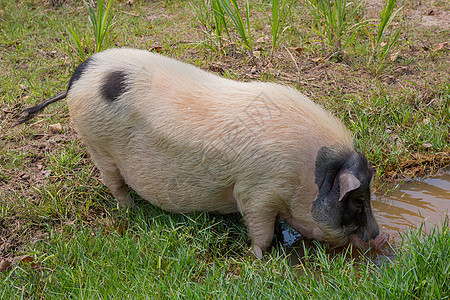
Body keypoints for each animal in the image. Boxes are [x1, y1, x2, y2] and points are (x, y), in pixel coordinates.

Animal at [15, 47, 388, 255]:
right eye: (357, 201)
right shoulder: (256, 191)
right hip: (97, 144)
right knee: (115, 183)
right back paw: (130, 211)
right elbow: (261, 231)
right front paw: (256, 257)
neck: (307, 175)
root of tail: (79, 76)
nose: (380, 236)